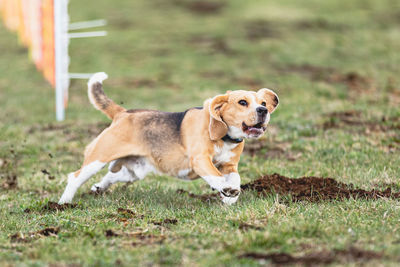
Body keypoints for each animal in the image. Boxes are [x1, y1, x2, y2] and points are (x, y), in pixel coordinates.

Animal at [59, 73, 278, 205]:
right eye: (242, 102)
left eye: (263, 102)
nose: (263, 110)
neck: (225, 137)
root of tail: (123, 113)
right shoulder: (200, 160)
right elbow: (216, 176)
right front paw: (225, 189)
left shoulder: (230, 166)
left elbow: (235, 178)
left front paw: (230, 197)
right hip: (98, 158)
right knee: (75, 177)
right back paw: (63, 203)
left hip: (134, 171)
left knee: (112, 176)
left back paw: (98, 187)